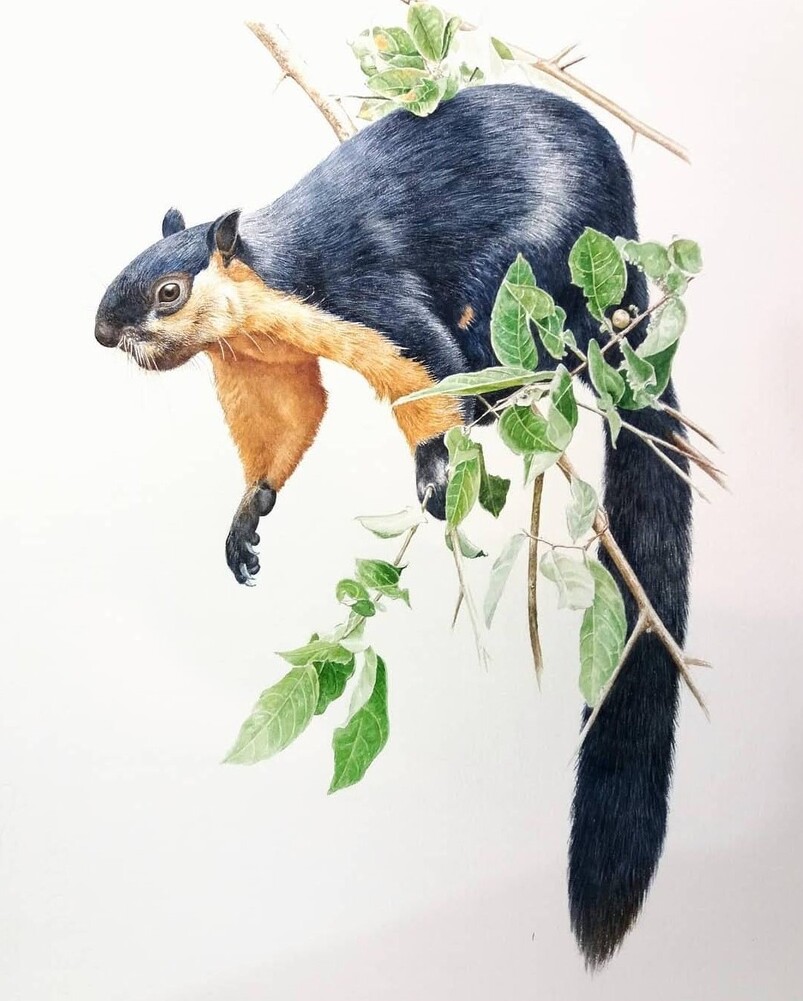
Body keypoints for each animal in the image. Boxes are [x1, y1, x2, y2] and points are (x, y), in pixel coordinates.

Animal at [95, 84, 692, 969]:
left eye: (168, 290)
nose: (103, 331)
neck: (269, 286)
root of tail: (629, 285)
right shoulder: (262, 363)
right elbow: (285, 423)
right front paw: (248, 513)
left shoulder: (374, 300)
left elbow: (433, 375)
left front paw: (437, 466)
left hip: (526, 272)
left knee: (525, 349)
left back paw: (507, 393)